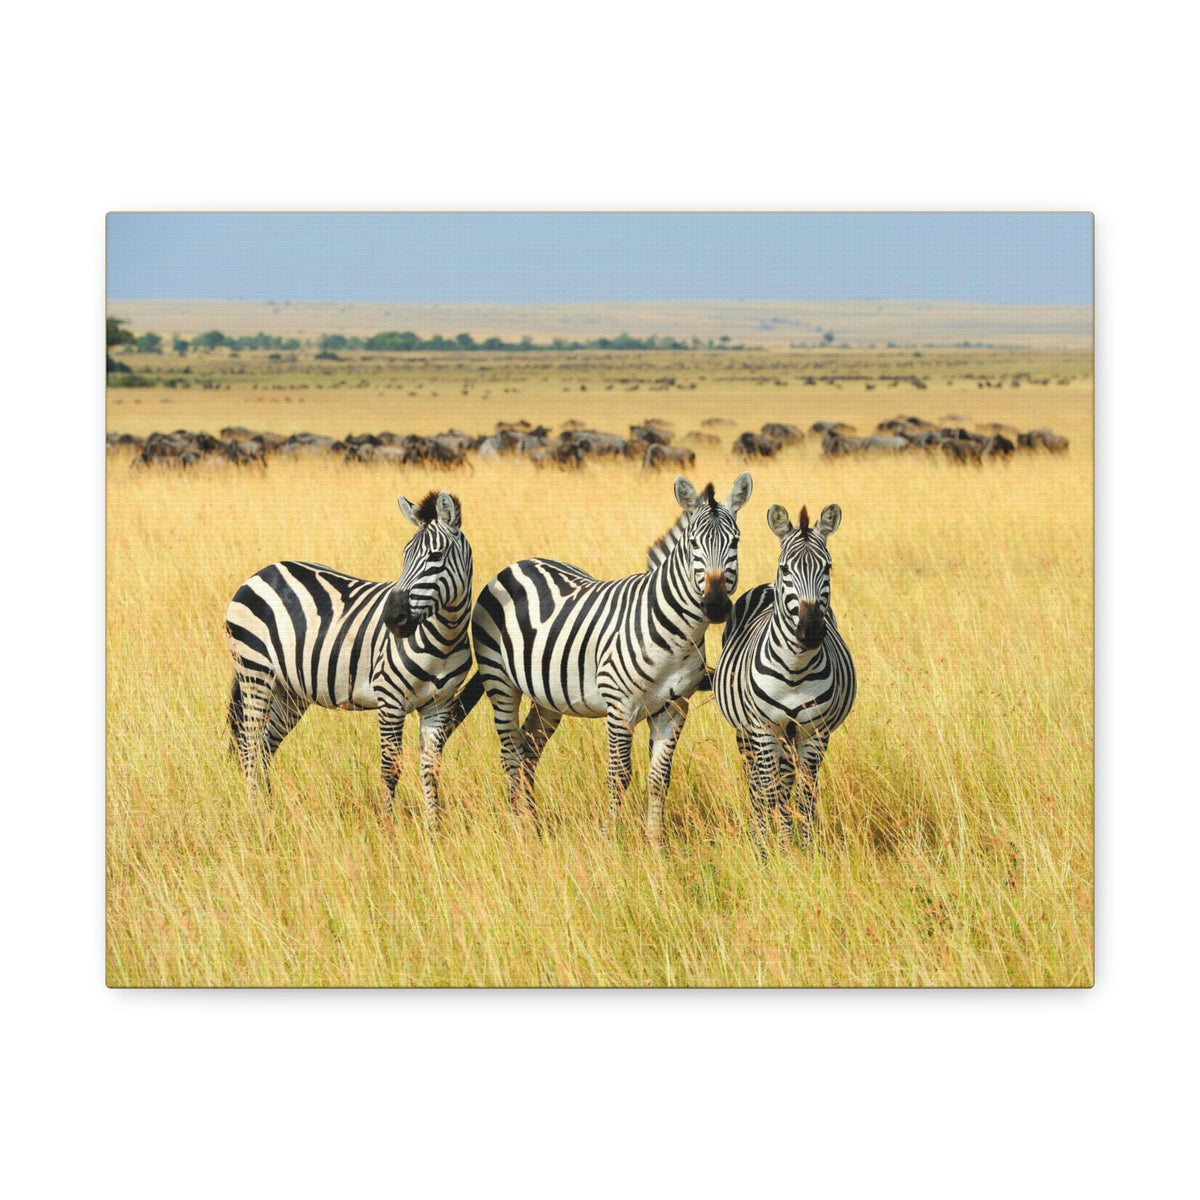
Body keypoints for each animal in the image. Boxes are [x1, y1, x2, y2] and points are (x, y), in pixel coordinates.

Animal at [223, 490, 473, 827]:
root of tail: (263, 572)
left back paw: (270, 809)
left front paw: (433, 829)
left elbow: (431, 769)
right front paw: (388, 828)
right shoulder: (390, 699)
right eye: (404, 555)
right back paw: (255, 813)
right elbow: (390, 769)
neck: (444, 638)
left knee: (264, 746)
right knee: (249, 744)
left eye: (436, 556)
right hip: (255, 673)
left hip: (289, 691)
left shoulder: (439, 705)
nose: (393, 618)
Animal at [456, 472, 753, 844]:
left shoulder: (674, 709)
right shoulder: (620, 707)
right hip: (500, 682)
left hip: (548, 697)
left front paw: (655, 844)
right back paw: (518, 827)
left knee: (528, 750)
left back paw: (533, 823)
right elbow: (619, 775)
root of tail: (517, 564)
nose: (715, 605)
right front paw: (612, 839)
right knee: (510, 752)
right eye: (693, 545)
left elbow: (659, 779)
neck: (678, 636)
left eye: (736, 542)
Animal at [714, 501, 856, 852]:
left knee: (787, 782)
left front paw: (803, 849)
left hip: (790, 736)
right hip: (747, 733)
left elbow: (804, 794)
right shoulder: (763, 728)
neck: (795, 668)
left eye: (827, 568)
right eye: (786, 569)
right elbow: (768, 791)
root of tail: (766, 585)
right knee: (756, 782)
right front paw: (769, 851)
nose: (812, 630)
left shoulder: (814, 732)